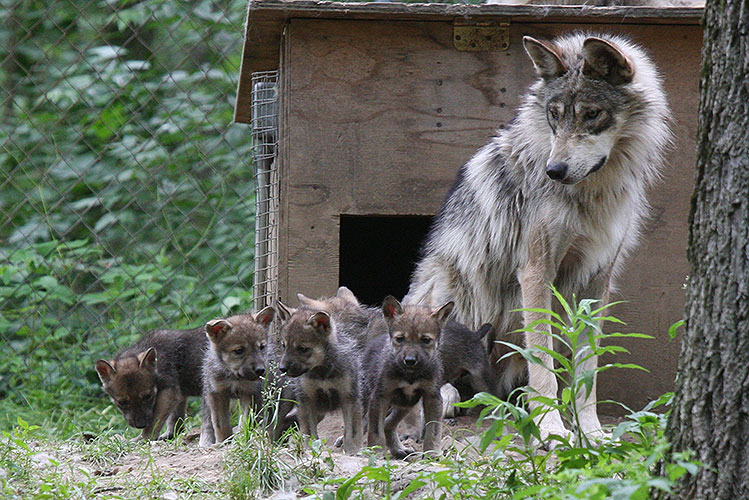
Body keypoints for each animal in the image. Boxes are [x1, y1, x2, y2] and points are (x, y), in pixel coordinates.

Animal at [406, 33, 668, 444]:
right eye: (554, 115)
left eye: (592, 114)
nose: (554, 170)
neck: (591, 194)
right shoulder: (535, 271)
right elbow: (543, 361)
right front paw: (551, 428)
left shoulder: (598, 280)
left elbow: (587, 370)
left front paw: (591, 431)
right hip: (449, 288)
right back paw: (448, 398)